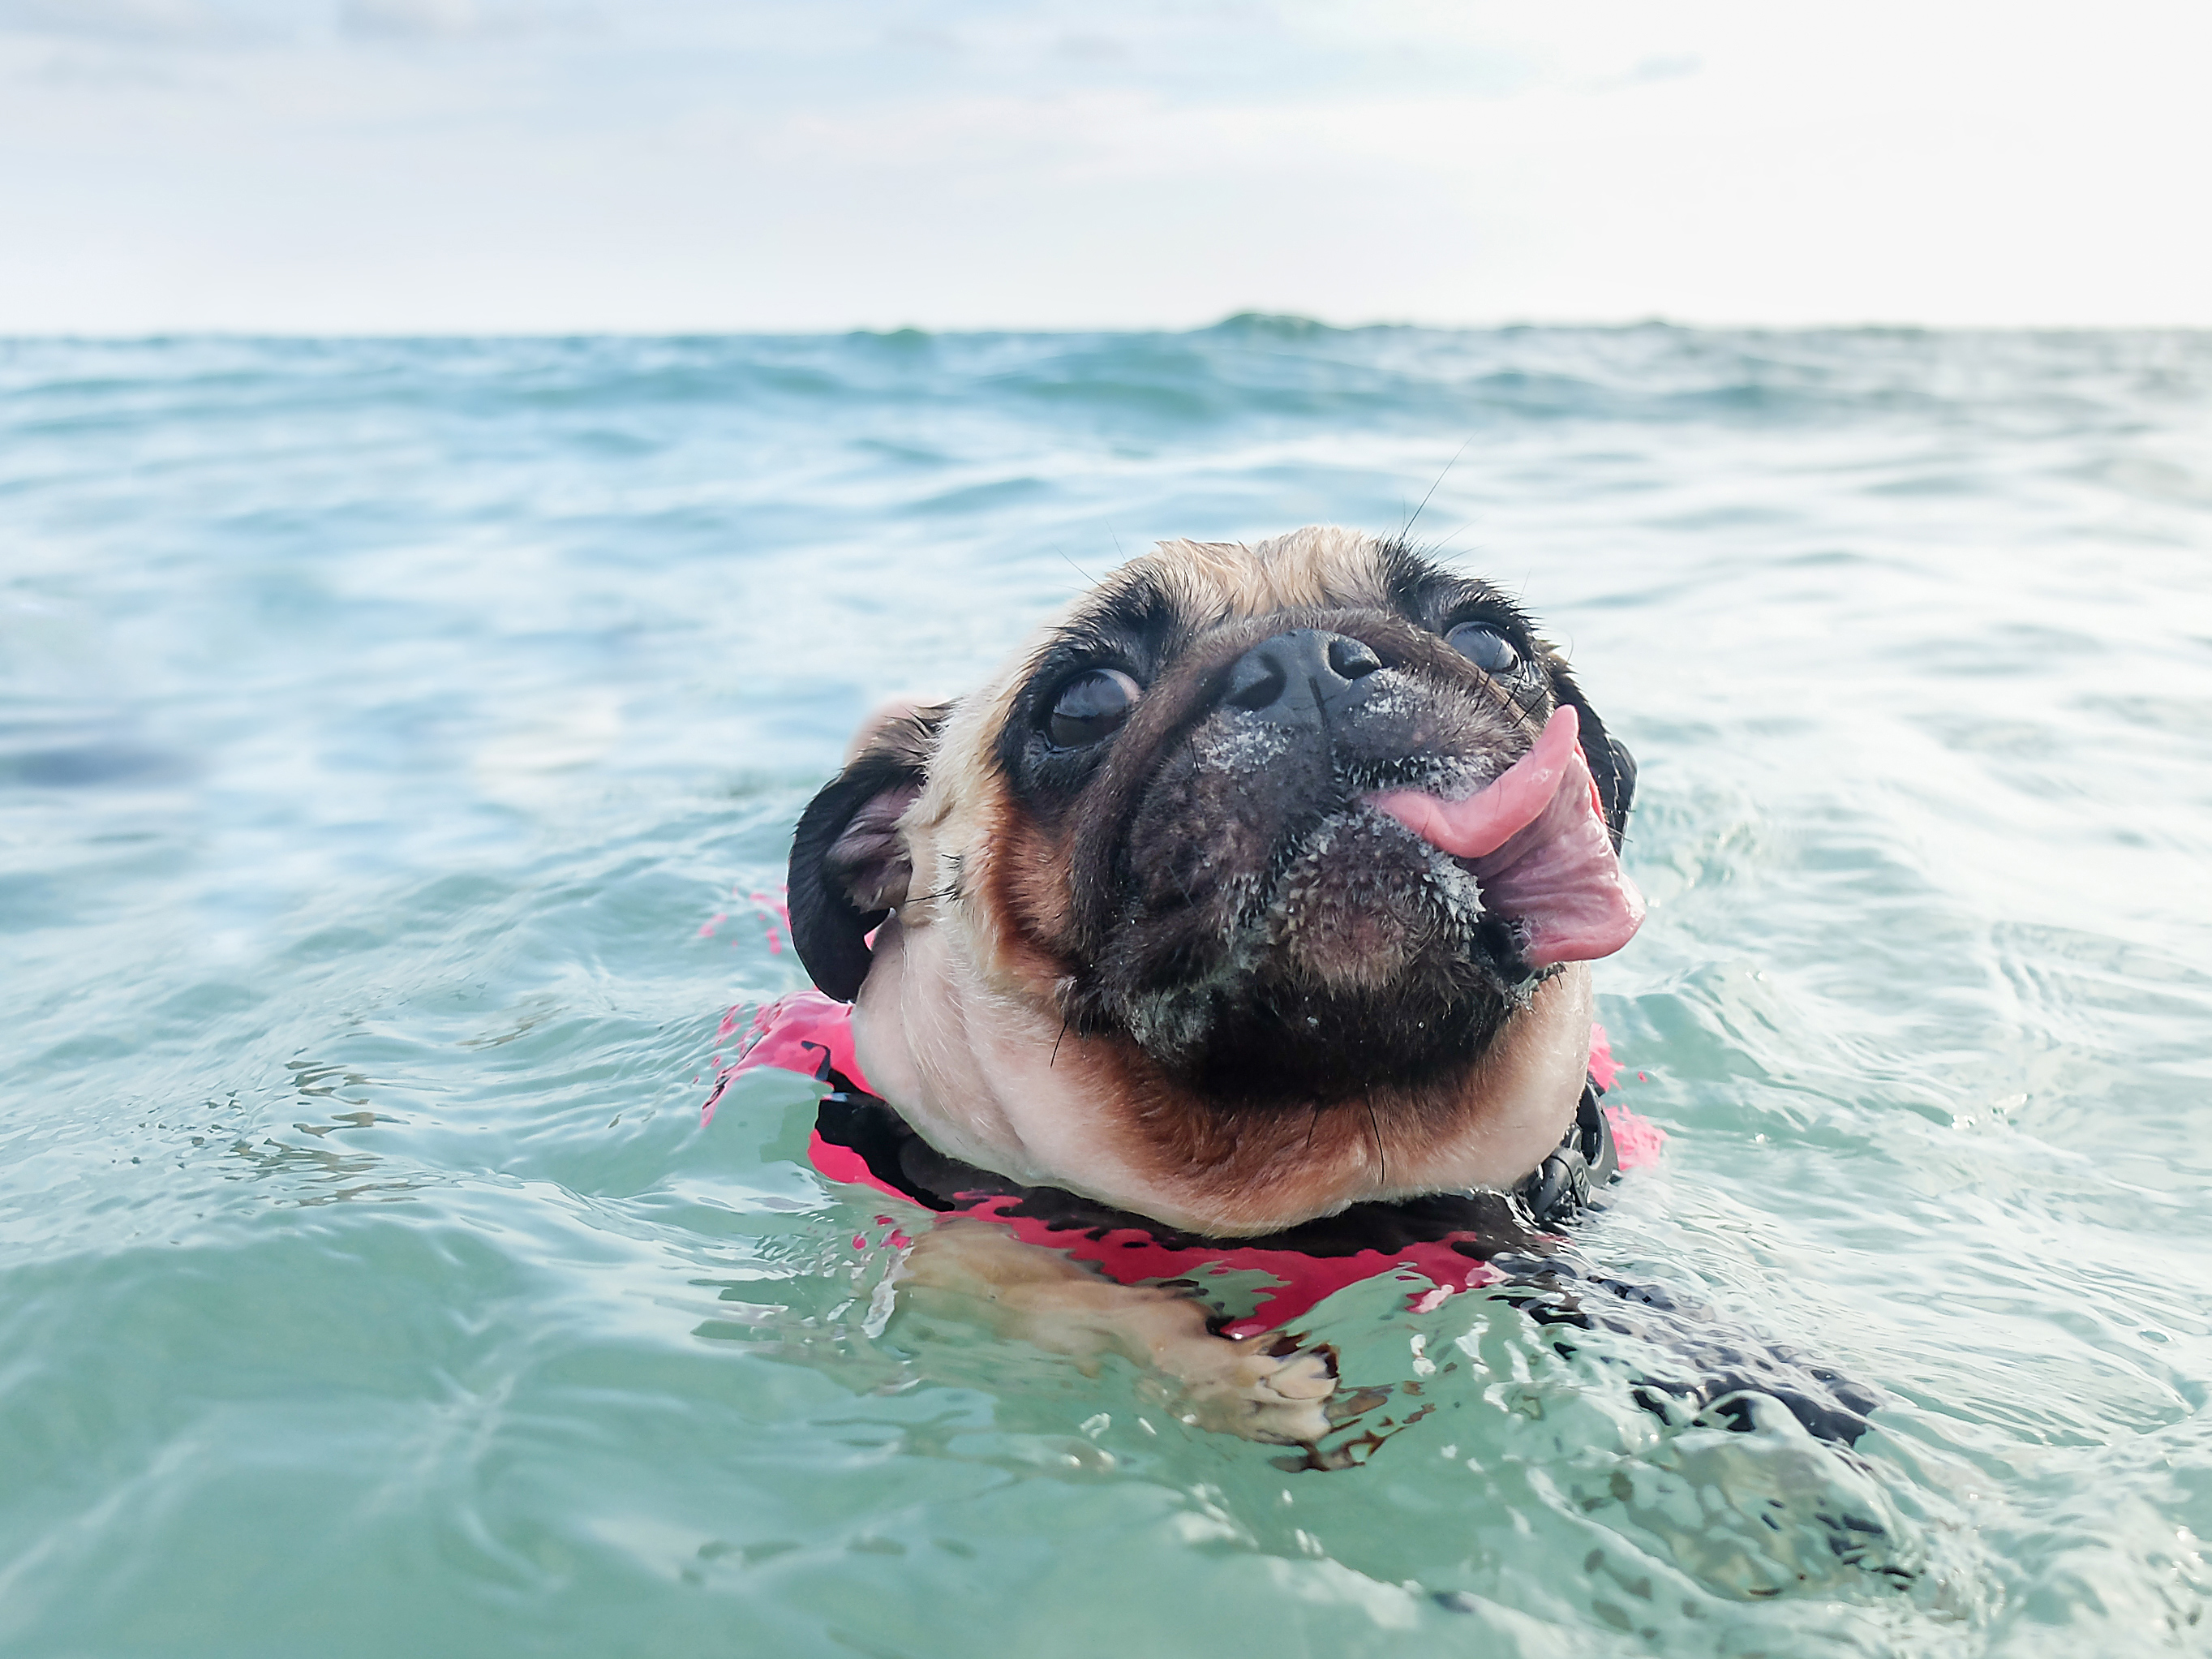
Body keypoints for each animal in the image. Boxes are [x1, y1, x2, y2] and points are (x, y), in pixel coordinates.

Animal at [783, 528, 1645, 1442]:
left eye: (1490, 641)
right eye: (1082, 702)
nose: (1306, 659)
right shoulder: (955, 1252)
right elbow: (1048, 1286)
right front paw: (1230, 1375)